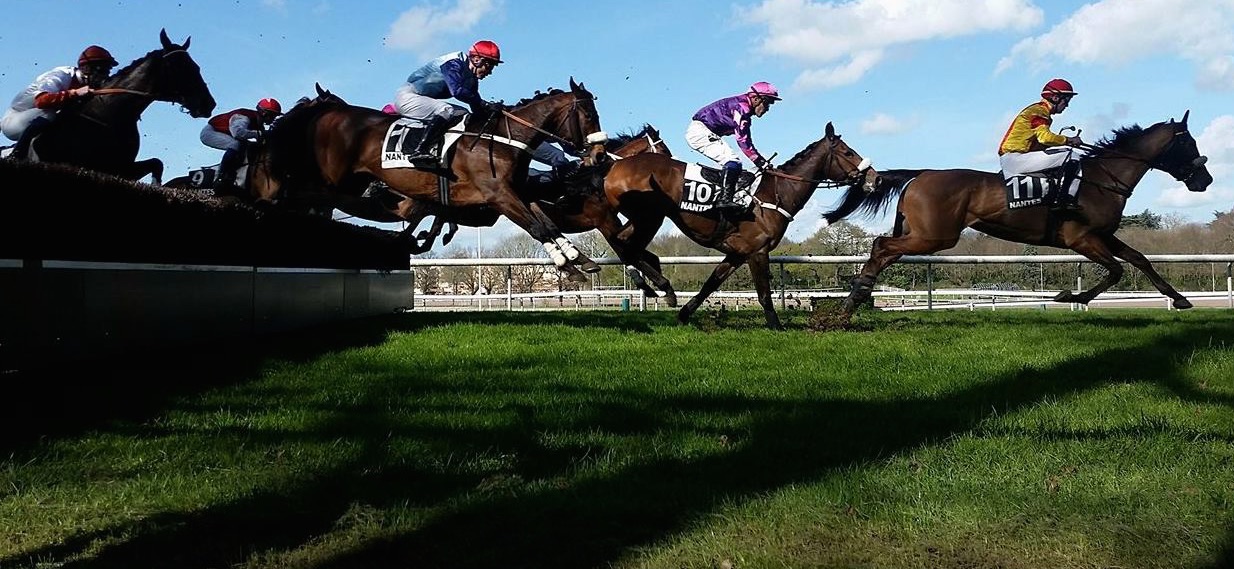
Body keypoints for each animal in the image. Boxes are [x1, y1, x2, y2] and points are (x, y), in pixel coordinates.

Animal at [28, 29, 217, 183]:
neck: (108, 118)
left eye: (196, 66)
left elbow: (157, 163)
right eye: (179, 66)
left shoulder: (123, 168)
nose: (208, 103)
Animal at [261, 76, 607, 280]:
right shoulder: (498, 195)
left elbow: (546, 223)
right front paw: (568, 266)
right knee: (303, 197)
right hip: (332, 181)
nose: (599, 155)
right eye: (590, 115)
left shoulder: (515, 191)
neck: (502, 140)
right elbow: (538, 227)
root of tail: (329, 116)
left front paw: (578, 258)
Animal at [604, 122, 878, 328]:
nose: (874, 178)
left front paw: (684, 315)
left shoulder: (736, 253)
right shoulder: (758, 252)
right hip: (651, 216)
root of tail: (615, 166)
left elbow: (710, 285)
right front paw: (776, 326)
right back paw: (662, 287)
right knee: (625, 244)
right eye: (848, 152)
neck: (774, 196)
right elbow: (764, 294)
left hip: (645, 217)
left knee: (624, 242)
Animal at [829, 108, 1214, 315]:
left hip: (921, 233)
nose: (1205, 180)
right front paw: (1071, 295)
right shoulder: (1081, 238)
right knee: (881, 246)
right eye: (1188, 143)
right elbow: (1117, 271)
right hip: (935, 236)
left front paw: (1180, 299)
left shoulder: (1103, 235)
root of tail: (920, 175)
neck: (1100, 179)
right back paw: (855, 297)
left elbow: (1139, 259)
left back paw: (855, 297)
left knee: (883, 250)